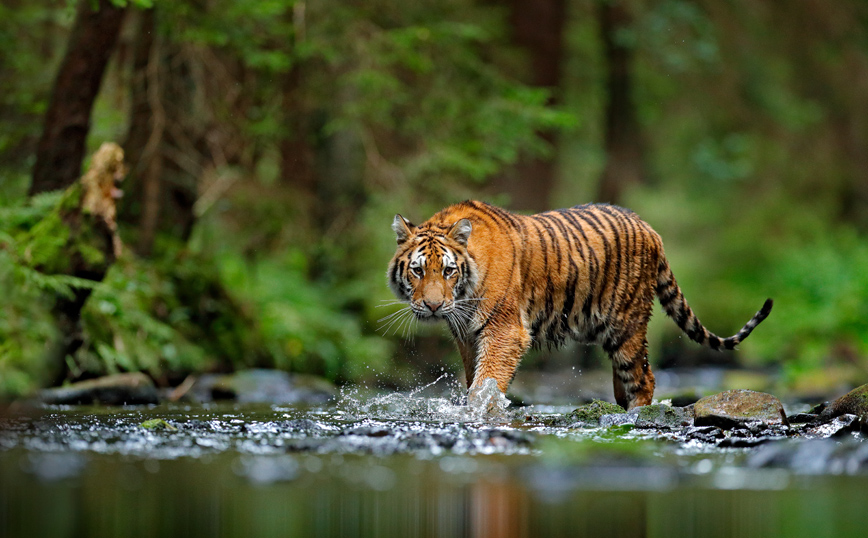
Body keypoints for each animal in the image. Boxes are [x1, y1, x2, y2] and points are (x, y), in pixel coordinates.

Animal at [386, 200, 772, 406]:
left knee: (644, 377)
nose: (433, 306)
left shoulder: (504, 331)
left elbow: (487, 381)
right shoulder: (467, 335)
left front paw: (479, 411)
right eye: (418, 271)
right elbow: (474, 378)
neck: (464, 295)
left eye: (448, 271)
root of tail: (650, 229)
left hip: (626, 325)